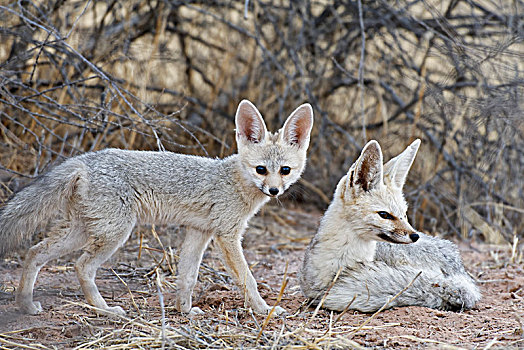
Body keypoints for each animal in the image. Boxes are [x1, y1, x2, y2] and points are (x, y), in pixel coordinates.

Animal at [0, 100, 314, 316]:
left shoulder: (199, 231)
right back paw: (104, 309)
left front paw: (184, 310)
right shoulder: (227, 236)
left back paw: (25, 305)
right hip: (113, 234)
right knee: (81, 265)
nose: (274, 191)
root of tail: (86, 159)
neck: (234, 180)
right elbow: (248, 279)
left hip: (82, 231)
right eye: (261, 169)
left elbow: (188, 276)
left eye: (285, 170)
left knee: (34, 253)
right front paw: (265, 310)